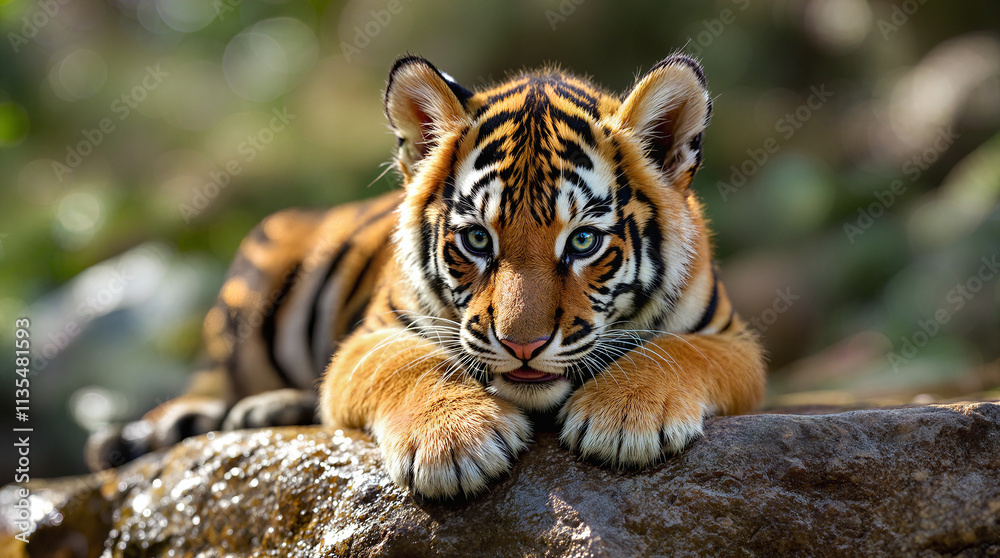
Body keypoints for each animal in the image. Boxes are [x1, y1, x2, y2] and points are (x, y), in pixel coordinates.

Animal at [87, 54, 766, 500]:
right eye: (477, 239)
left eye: (583, 241)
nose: (523, 345)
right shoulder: (368, 339)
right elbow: (412, 363)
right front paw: (455, 442)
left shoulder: (733, 342)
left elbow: (677, 351)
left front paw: (625, 418)